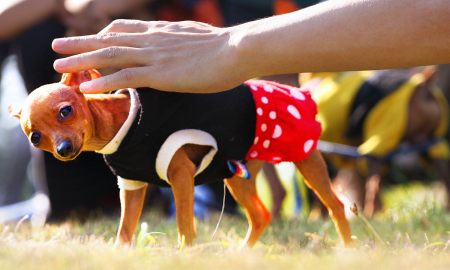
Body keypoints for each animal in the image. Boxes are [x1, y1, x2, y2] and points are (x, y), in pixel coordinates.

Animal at [6, 70, 352, 248]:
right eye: (35, 137)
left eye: (66, 110)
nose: (64, 149)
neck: (122, 123)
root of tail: (298, 90)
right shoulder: (131, 185)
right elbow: (125, 229)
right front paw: (121, 254)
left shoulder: (181, 174)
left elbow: (186, 226)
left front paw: (185, 254)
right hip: (237, 174)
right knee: (260, 215)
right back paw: (244, 255)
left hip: (305, 159)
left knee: (335, 206)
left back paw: (348, 248)